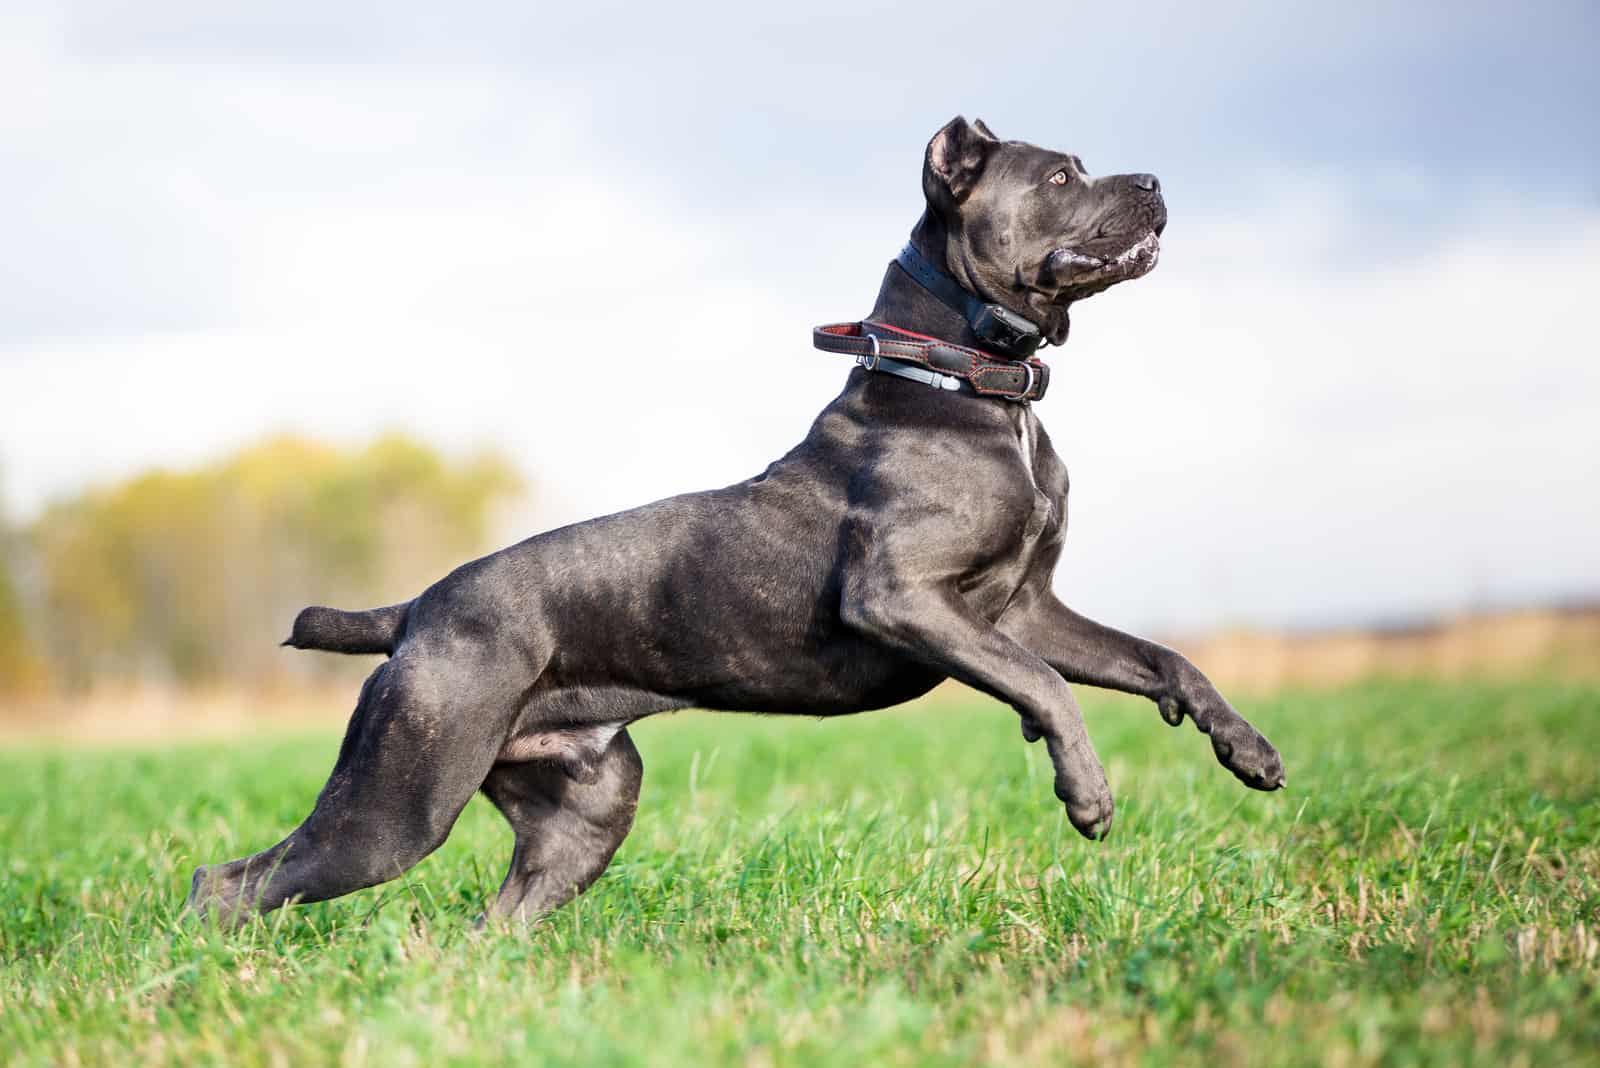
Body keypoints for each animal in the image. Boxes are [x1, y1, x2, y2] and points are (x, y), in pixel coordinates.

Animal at [187, 116, 1286, 927]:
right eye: (1060, 175)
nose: (1155, 180)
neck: (970, 386)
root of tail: (414, 611)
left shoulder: (1026, 607)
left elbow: (1158, 660)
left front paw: (1248, 750)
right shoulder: (907, 600)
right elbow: (1047, 687)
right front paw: (1087, 795)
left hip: (584, 810)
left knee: (488, 921)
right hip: (398, 804)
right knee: (231, 883)